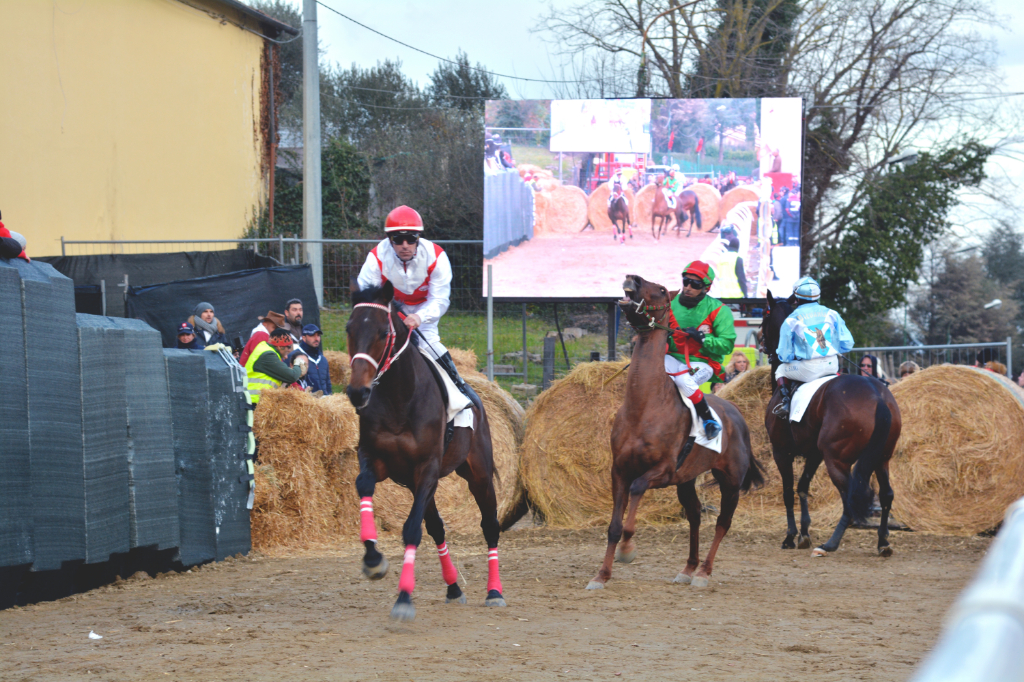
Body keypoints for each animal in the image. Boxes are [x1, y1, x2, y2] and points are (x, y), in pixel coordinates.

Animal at [346, 278, 505, 618]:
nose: (357, 392)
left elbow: (411, 530)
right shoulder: (377, 460)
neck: (399, 398)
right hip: (417, 483)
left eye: (383, 332)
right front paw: (373, 559)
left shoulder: (428, 468)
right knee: (437, 527)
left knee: (489, 526)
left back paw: (494, 591)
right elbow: (364, 484)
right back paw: (454, 587)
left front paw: (404, 597)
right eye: (349, 328)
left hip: (478, 475)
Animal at [589, 274, 765, 585]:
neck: (644, 406)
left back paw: (703, 572)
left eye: (660, 289)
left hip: (730, 481)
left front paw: (627, 549)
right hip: (687, 480)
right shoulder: (619, 471)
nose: (632, 278)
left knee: (723, 522)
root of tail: (737, 415)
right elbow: (614, 526)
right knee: (694, 514)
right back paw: (688, 568)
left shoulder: (663, 471)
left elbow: (635, 496)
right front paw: (602, 575)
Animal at [765, 288, 901, 557]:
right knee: (886, 494)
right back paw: (883, 542)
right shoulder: (814, 453)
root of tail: (878, 396)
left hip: (836, 459)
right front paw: (804, 533)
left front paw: (791, 536)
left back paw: (830, 544)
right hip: (881, 457)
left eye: (764, 316)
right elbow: (802, 486)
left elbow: (788, 491)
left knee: (852, 497)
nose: (762, 344)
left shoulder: (781, 451)